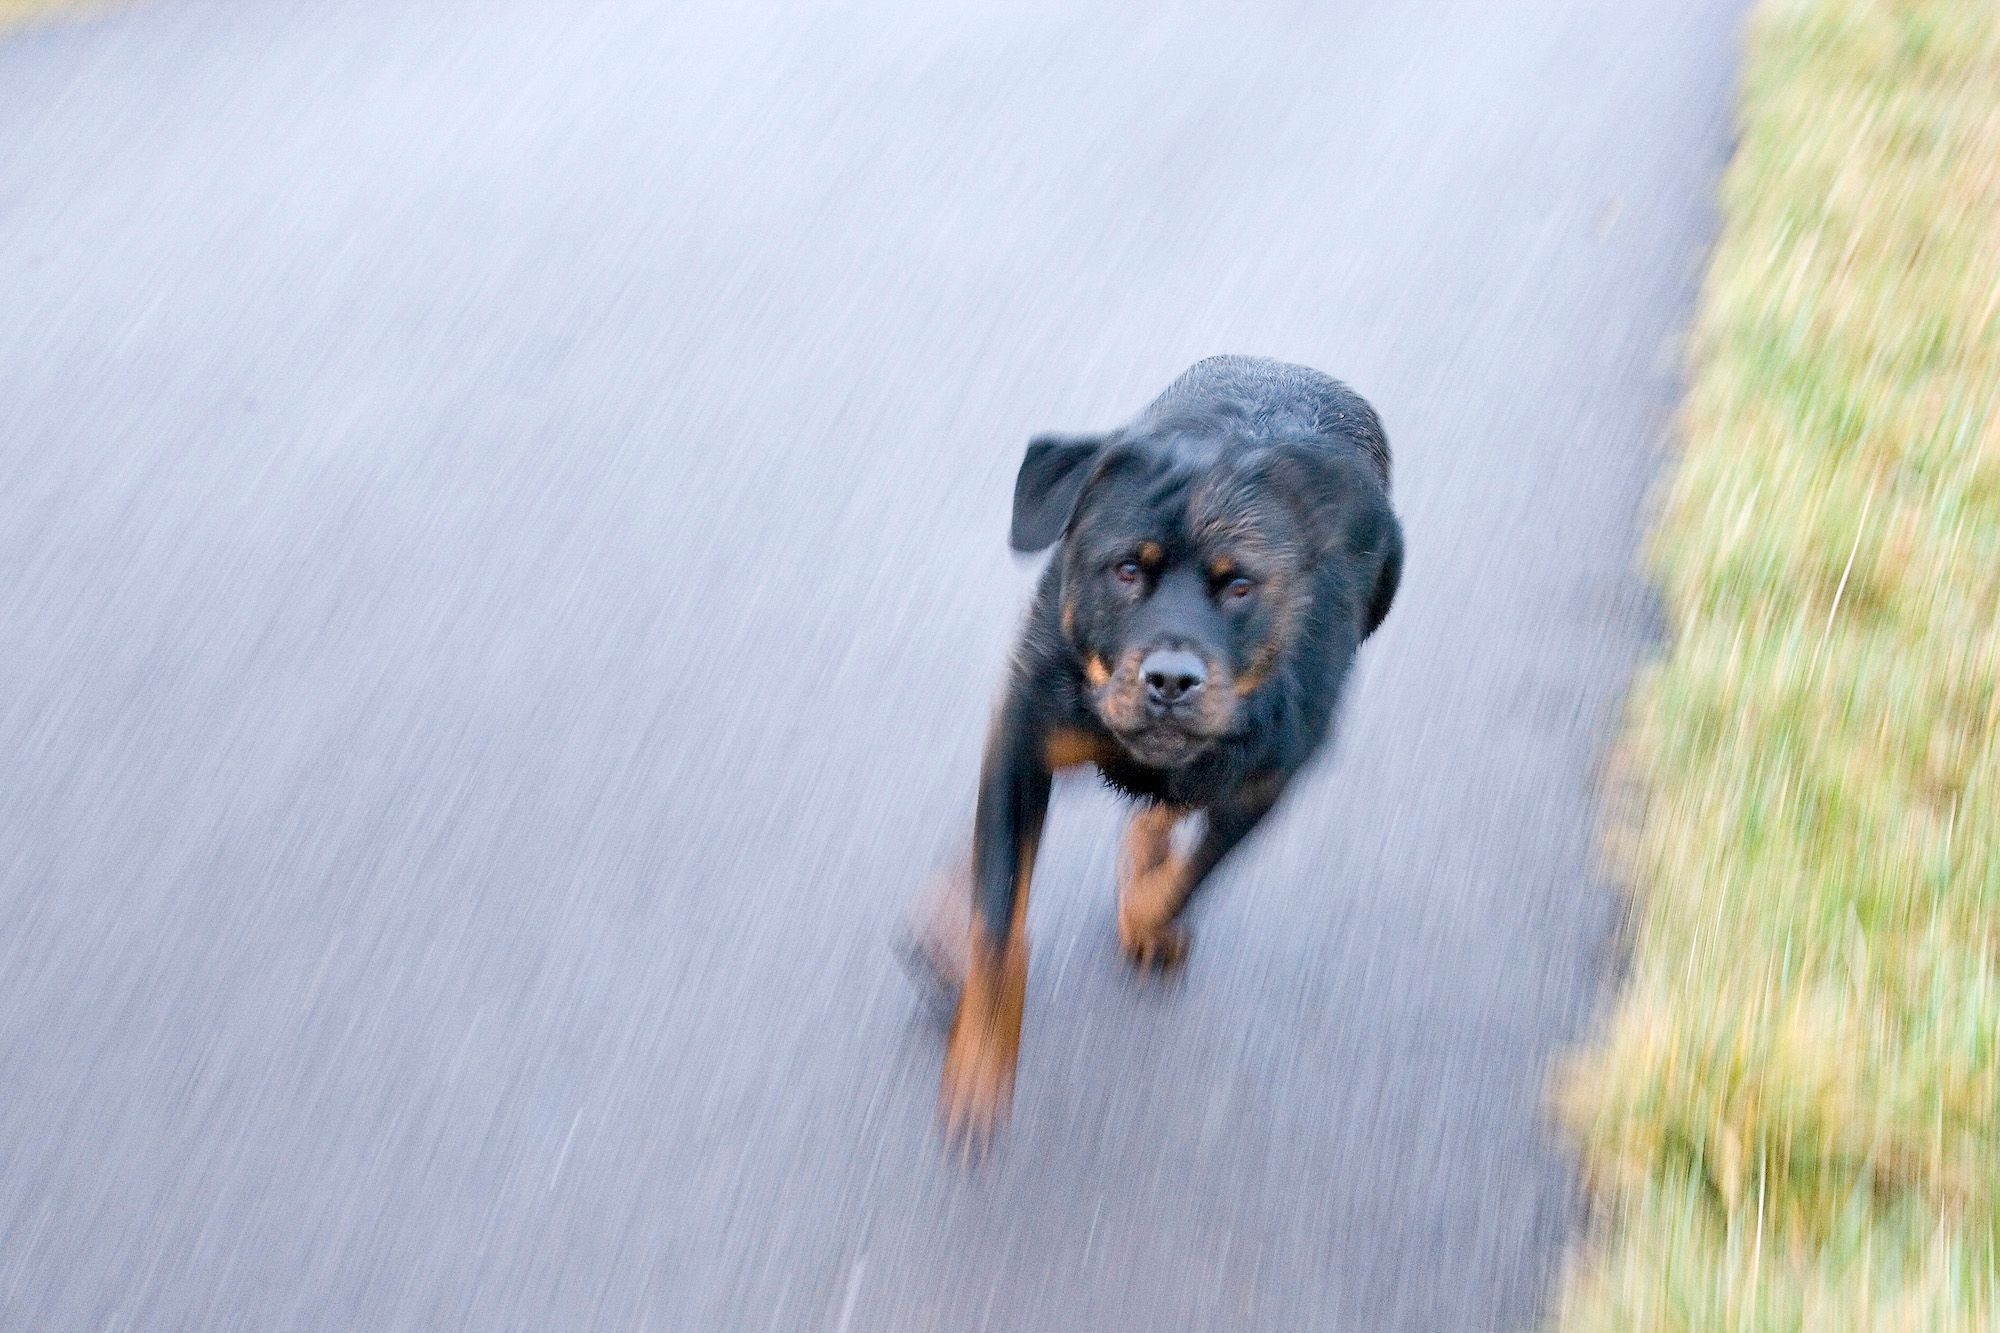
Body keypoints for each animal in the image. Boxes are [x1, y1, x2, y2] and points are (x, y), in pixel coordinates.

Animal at [908, 352, 1408, 1144]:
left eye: (1240, 585)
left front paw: (1146, 913)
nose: (1173, 678)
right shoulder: (1025, 732)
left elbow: (1192, 874)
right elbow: (999, 914)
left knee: (1166, 809)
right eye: (1126, 570)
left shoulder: (1267, 781)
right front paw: (981, 1057)